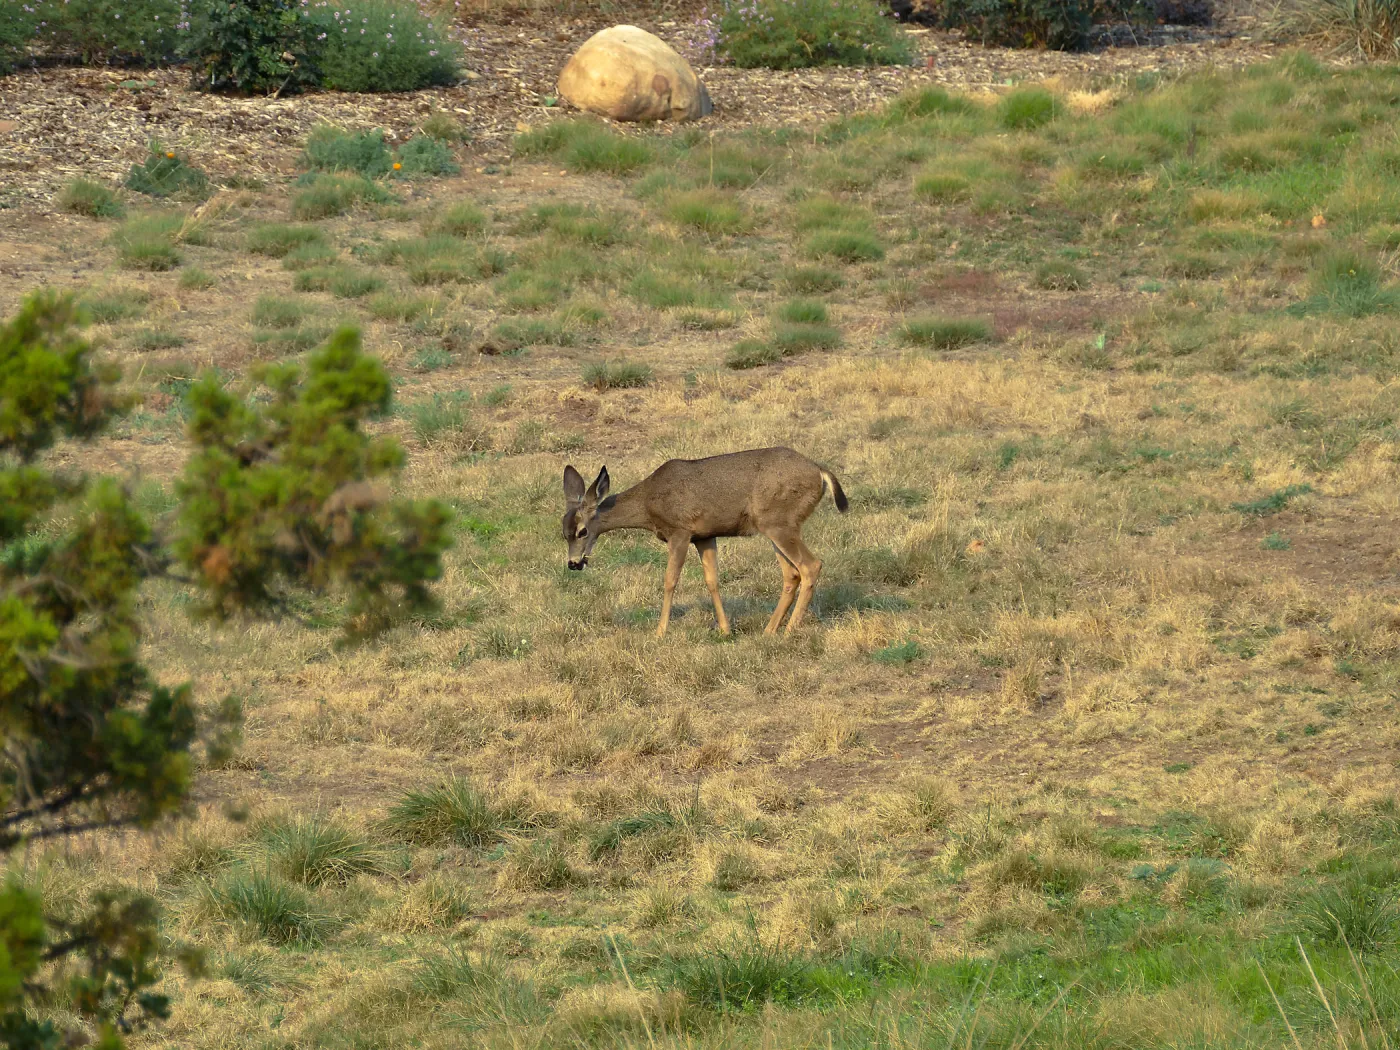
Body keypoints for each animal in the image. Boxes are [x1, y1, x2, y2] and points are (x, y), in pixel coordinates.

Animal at [561, 447, 848, 637]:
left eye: (582, 532)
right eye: (563, 532)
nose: (573, 563)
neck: (648, 504)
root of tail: (820, 472)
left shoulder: (680, 531)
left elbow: (670, 581)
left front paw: (660, 631)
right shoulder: (705, 536)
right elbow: (712, 580)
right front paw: (725, 629)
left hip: (778, 522)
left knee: (810, 565)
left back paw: (789, 630)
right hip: (776, 526)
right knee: (792, 573)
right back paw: (769, 630)